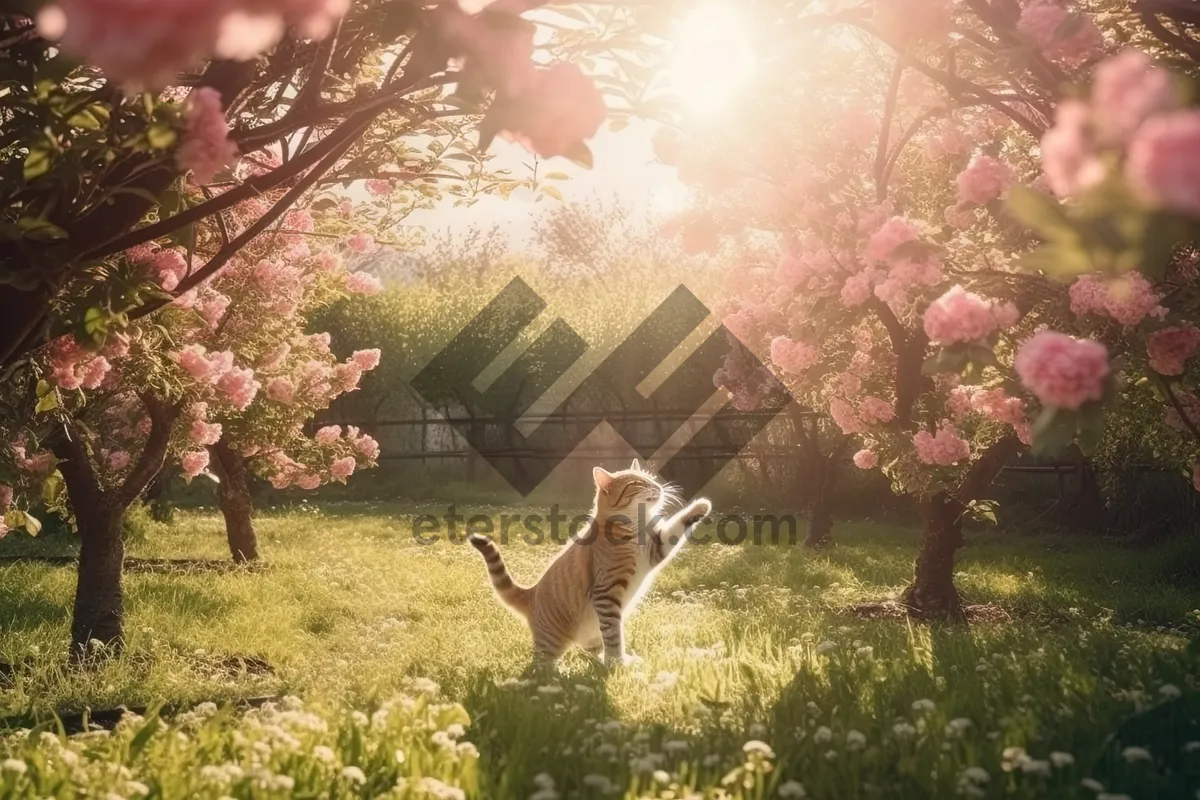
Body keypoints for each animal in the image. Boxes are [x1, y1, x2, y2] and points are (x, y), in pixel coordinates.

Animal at [465, 460, 710, 666]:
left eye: (650, 478)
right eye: (637, 483)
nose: (658, 486)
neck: (635, 526)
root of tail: (530, 593)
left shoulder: (656, 548)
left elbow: (677, 525)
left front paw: (701, 506)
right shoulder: (606, 593)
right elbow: (614, 636)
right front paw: (617, 663)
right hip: (551, 644)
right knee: (540, 665)